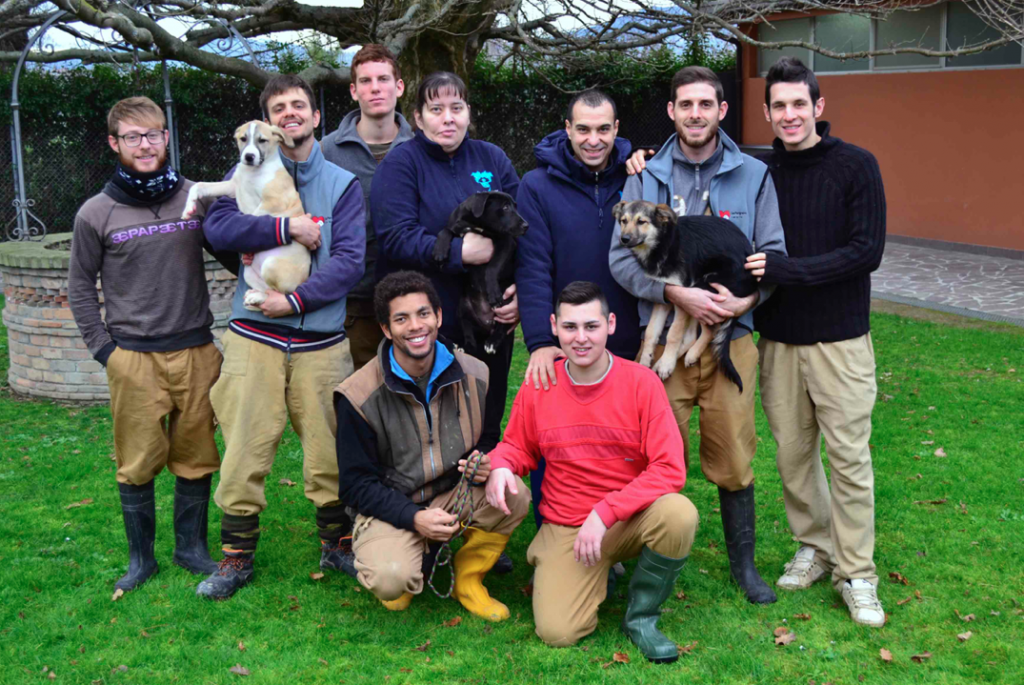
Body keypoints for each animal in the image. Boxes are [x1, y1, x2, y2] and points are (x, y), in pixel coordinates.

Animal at [184, 120, 309, 309]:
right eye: (243, 139)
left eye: (262, 140)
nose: (249, 157)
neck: (254, 172)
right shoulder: (232, 186)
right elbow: (200, 185)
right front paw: (188, 207)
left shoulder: (274, 202)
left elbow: (253, 218)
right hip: (249, 274)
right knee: (268, 291)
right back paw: (255, 296)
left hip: (271, 265)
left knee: (281, 295)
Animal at [430, 191, 528, 352]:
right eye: (505, 207)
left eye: (515, 206)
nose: (526, 225)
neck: (476, 224)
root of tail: (487, 323)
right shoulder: (455, 227)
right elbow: (445, 230)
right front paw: (439, 252)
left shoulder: (507, 242)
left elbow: (492, 267)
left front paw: (493, 293)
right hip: (462, 306)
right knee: (468, 329)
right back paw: (466, 346)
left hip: (507, 306)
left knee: (503, 326)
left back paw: (492, 342)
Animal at [610, 198, 757, 389]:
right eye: (623, 221)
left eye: (642, 221)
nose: (624, 239)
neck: (664, 243)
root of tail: (754, 282)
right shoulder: (664, 297)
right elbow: (651, 332)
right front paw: (646, 361)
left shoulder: (682, 298)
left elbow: (673, 333)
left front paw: (667, 364)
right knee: (691, 336)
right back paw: (664, 362)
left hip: (703, 288)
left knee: (710, 330)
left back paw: (686, 356)